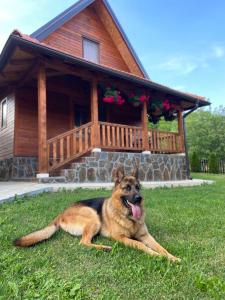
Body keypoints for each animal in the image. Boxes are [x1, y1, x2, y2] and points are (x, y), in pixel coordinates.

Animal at [13, 168, 180, 262]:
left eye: (138, 187)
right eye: (127, 188)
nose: (139, 198)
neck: (128, 217)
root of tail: (62, 213)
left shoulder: (146, 236)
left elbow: (161, 247)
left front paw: (172, 257)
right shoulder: (121, 238)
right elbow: (140, 244)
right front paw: (156, 256)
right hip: (93, 218)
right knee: (83, 242)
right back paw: (105, 247)